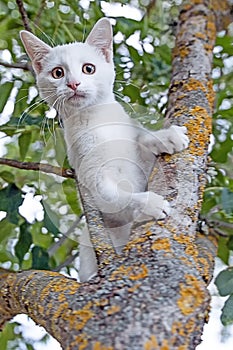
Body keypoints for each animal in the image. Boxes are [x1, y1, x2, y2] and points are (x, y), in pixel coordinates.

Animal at [20, 18, 189, 282]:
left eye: (88, 68)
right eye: (58, 73)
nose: (73, 83)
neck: (97, 120)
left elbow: (142, 138)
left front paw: (166, 136)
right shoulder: (89, 173)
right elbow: (114, 197)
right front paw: (149, 203)